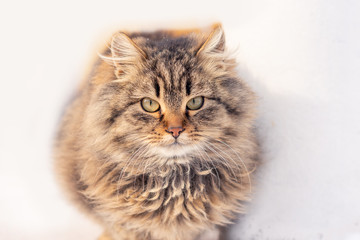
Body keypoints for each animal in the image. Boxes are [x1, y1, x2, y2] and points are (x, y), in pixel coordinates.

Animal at [54, 23, 258, 240]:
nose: (175, 130)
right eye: (149, 104)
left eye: (195, 102)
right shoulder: (124, 225)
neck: (173, 182)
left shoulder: (208, 228)